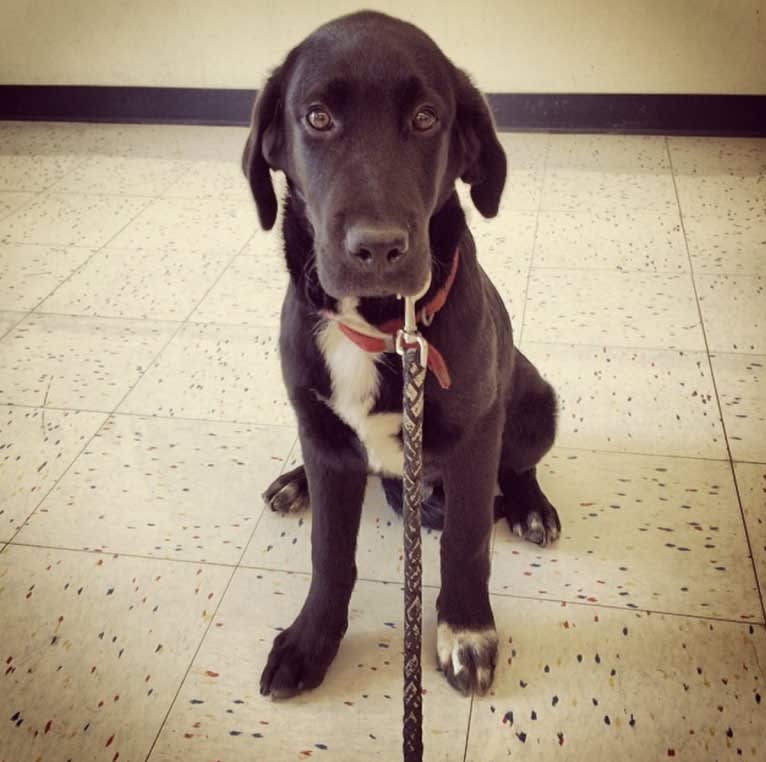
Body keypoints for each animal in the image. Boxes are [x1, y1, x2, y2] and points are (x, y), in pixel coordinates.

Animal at [246, 8, 564, 696]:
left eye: (425, 118)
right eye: (317, 117)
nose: (378, 248)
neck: (383, 325)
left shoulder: (475, 438)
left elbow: (467, 543)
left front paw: (465, 633)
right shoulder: (322, 432)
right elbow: (330, 553)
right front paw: (312, 640)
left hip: (537, 403)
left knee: (519, 467)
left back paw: (531, 507)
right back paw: (294, 482)